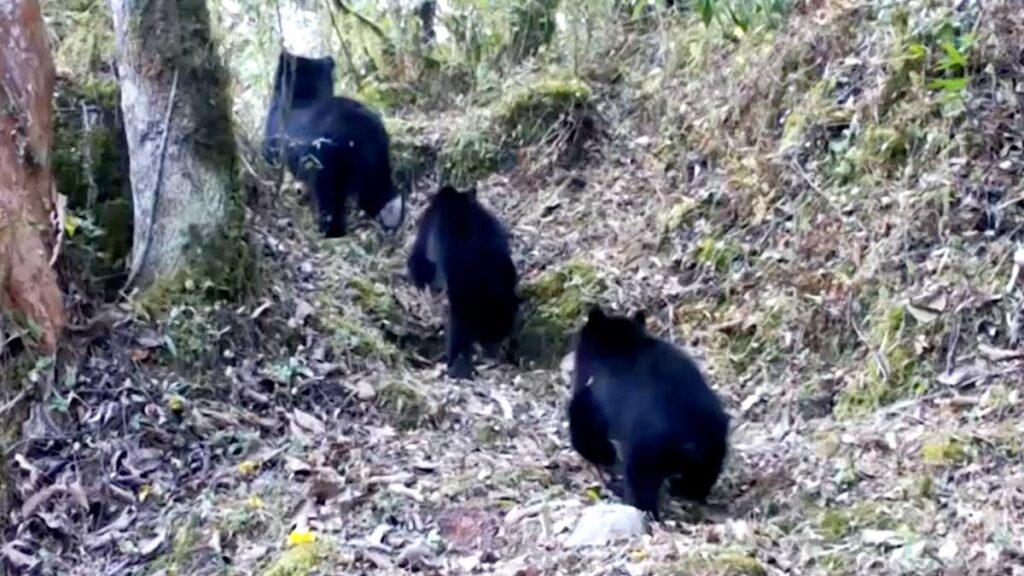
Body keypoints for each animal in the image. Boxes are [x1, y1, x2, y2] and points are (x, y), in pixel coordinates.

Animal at [264, 50, 403, 236]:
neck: (301, 96)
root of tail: (361, 125)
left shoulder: (273, 131)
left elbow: (269, 157)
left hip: (328, 163)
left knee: (330, 199)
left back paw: (331, 232)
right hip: (376, 155)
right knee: (375, 191)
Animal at [569, 307, 729, 518]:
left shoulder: (593, 397)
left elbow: (585, 428)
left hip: (646, 449)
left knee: (641, 482)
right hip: (714, 437)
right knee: (703, 474)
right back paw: (684, 490)